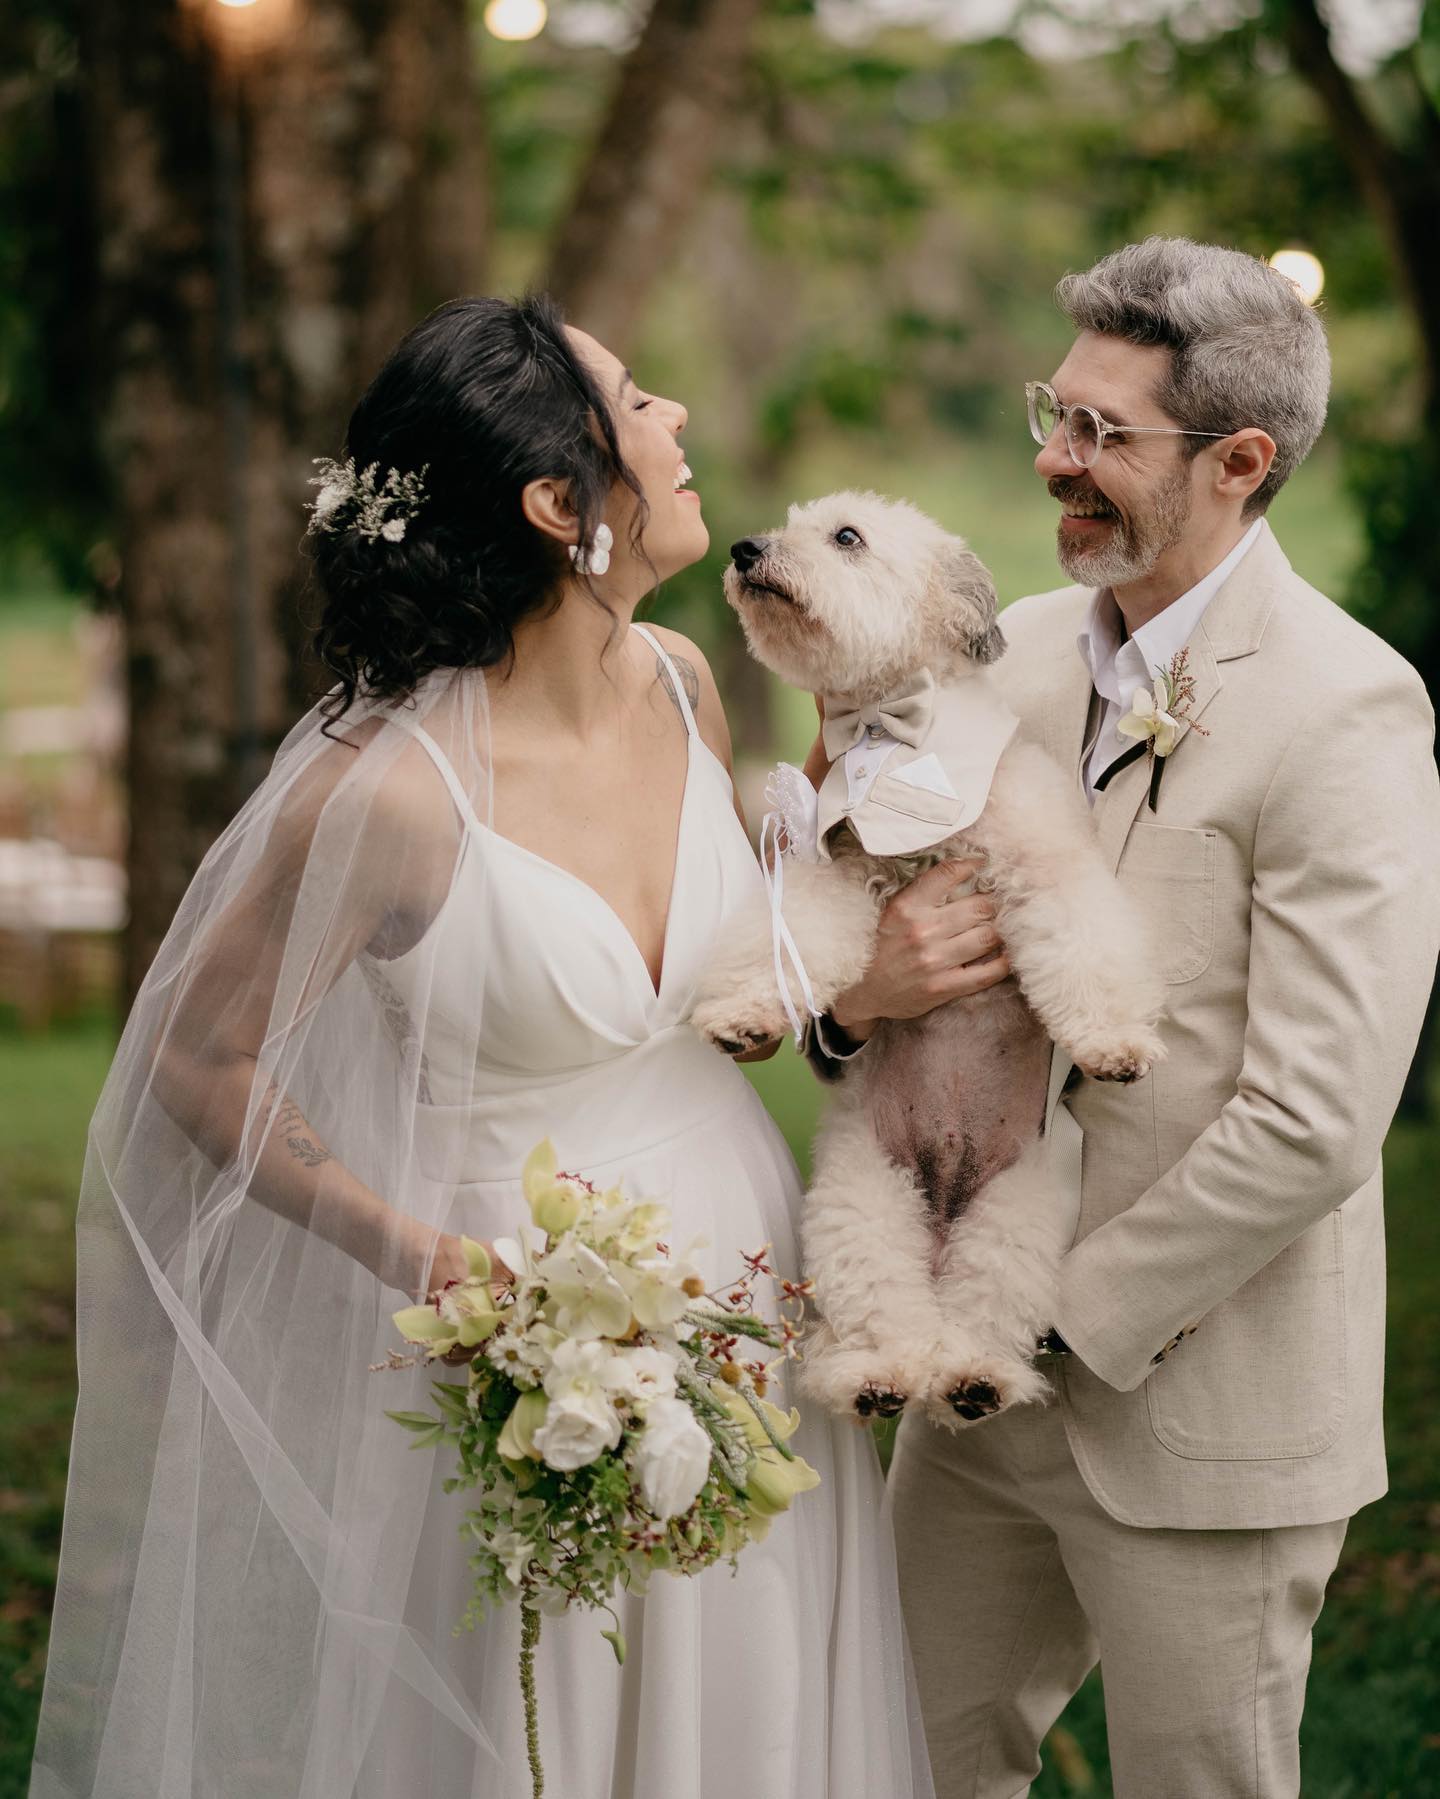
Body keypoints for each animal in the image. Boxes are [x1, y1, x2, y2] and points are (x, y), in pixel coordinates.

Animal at [687, 492, 1166, 1432]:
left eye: (846, 537)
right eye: (792, 524)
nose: (746, 548)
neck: (898, 733)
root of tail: (941, 1211)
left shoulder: (1046, 865)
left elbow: (1085, 939)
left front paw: (1117, 1040)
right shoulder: (832, 877)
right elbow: (791, 937)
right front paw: (742, 1011)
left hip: (1018, 1216)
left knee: (984, 1316)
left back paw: (979, 1377)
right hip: (862, 1205)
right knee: (887, 1322)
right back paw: (877, 1376)